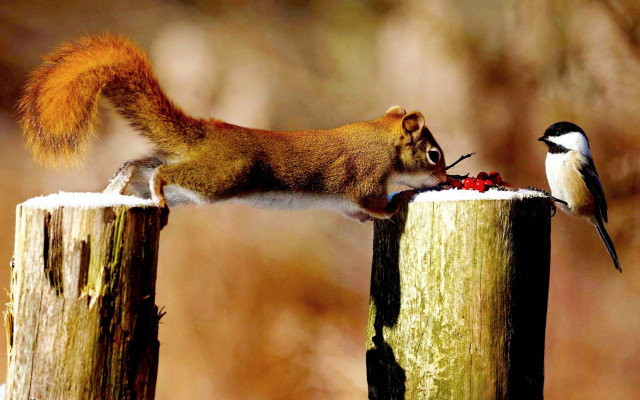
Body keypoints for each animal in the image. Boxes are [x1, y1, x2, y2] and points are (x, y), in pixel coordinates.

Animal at [18, 34, 447, 222]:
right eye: (433, 154)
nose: (444, 177)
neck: (379, 138)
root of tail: (209, 134)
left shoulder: (345, 203)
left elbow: (357, 213)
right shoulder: (365, 178)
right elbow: (373, 202)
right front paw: (397, 203)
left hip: (193, 183)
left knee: (138, 165)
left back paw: (116, 189)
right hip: (224, 175)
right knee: (162, 172)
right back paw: (150, 189)